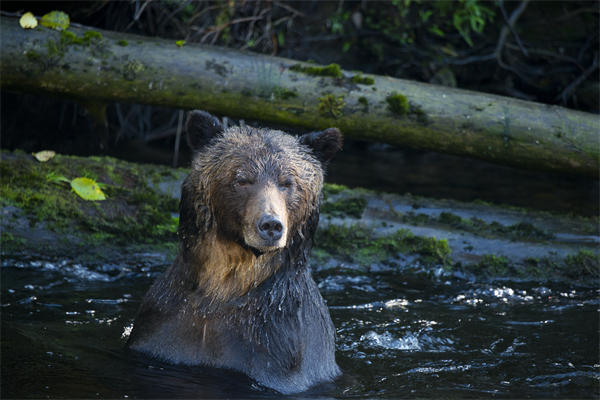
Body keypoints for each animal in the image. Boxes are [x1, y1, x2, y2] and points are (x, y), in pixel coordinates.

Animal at [126, 109, 342, 394]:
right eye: (242, 180)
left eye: (288, 183)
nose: (271, 225)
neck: (223, 287)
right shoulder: (163, 326)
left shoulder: (275, 347)